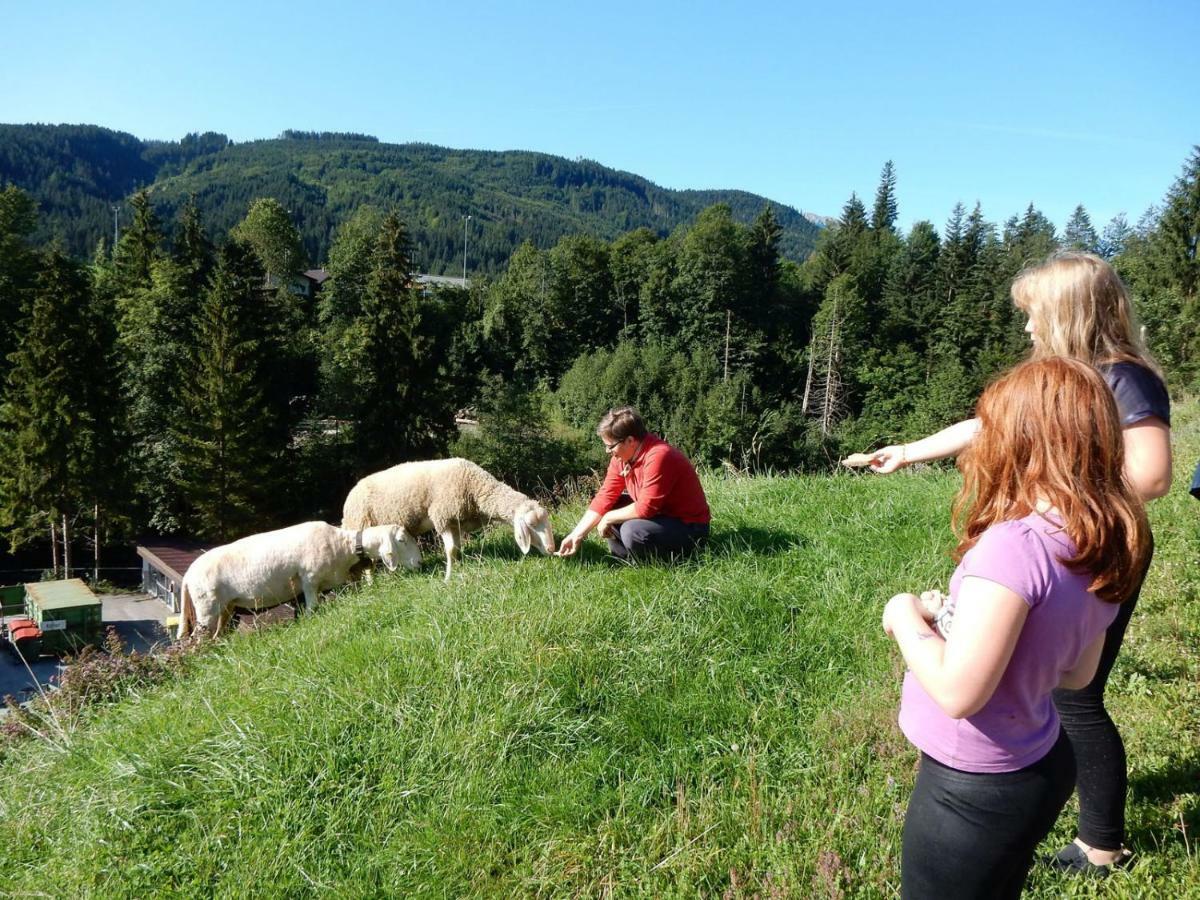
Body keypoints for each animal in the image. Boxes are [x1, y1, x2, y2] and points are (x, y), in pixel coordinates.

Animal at [175, 520, 422, 643]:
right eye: (402, 540)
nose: (420, 563)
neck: (344, 546)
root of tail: (188, 575)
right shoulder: (309, 580)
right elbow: (313, 609)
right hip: (207, 605)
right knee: (198, 638)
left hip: (225, 607)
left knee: (217, 634)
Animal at [343, 458, 556, 585]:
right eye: (531, 525)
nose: (552, 548)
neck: (475, 486)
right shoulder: (442, 518)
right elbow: (450, 550)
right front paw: (447, 578)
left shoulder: (456, 523)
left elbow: (457, 549)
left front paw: (460, 567)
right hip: (362, 527)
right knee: (368, 564)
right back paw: (371, 585)